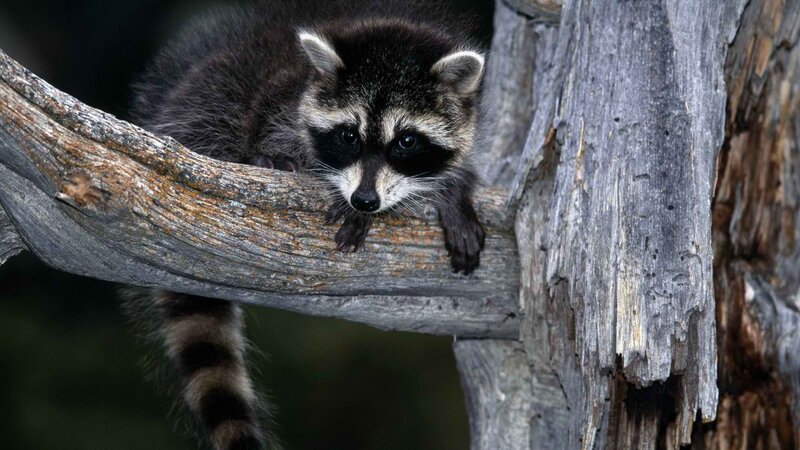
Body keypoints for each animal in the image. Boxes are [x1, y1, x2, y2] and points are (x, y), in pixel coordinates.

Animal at [129, 1, 486, 449]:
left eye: (406, 141)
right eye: (349, 135)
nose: (363, 200)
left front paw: (453, 190)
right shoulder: (281, 97)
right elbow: (275, 133)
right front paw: (334, 191)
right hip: (210, 101)